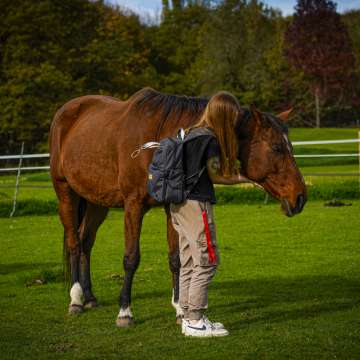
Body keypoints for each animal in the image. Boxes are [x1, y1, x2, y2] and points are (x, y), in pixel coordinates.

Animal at [49, 86, 306, 326]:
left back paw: (90, 297)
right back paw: (76, 299)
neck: (162, 142)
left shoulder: (170, 206)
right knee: (74, 243)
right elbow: (131, 258)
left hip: (96, 202)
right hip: (65, 192)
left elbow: (176, 259)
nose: (300, 197)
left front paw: (180, 310)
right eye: (276, 147)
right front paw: (125, 312)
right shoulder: (133, 205)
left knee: (86, 242)